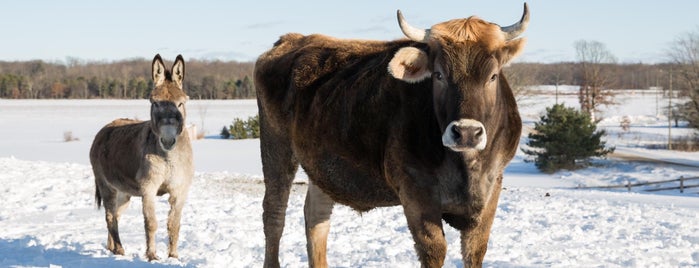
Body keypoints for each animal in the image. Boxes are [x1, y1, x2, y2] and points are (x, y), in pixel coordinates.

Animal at [258, 4, 532, 268]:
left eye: (493, 76)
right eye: (438, 75)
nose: (466, 132)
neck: (465, 168)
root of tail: (292, 39)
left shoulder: (492, 189)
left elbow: (475, 252)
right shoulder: (416, 192)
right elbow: (434, 251)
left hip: (321, 166)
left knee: (316, 217)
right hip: (275, 147)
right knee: (274, 215)